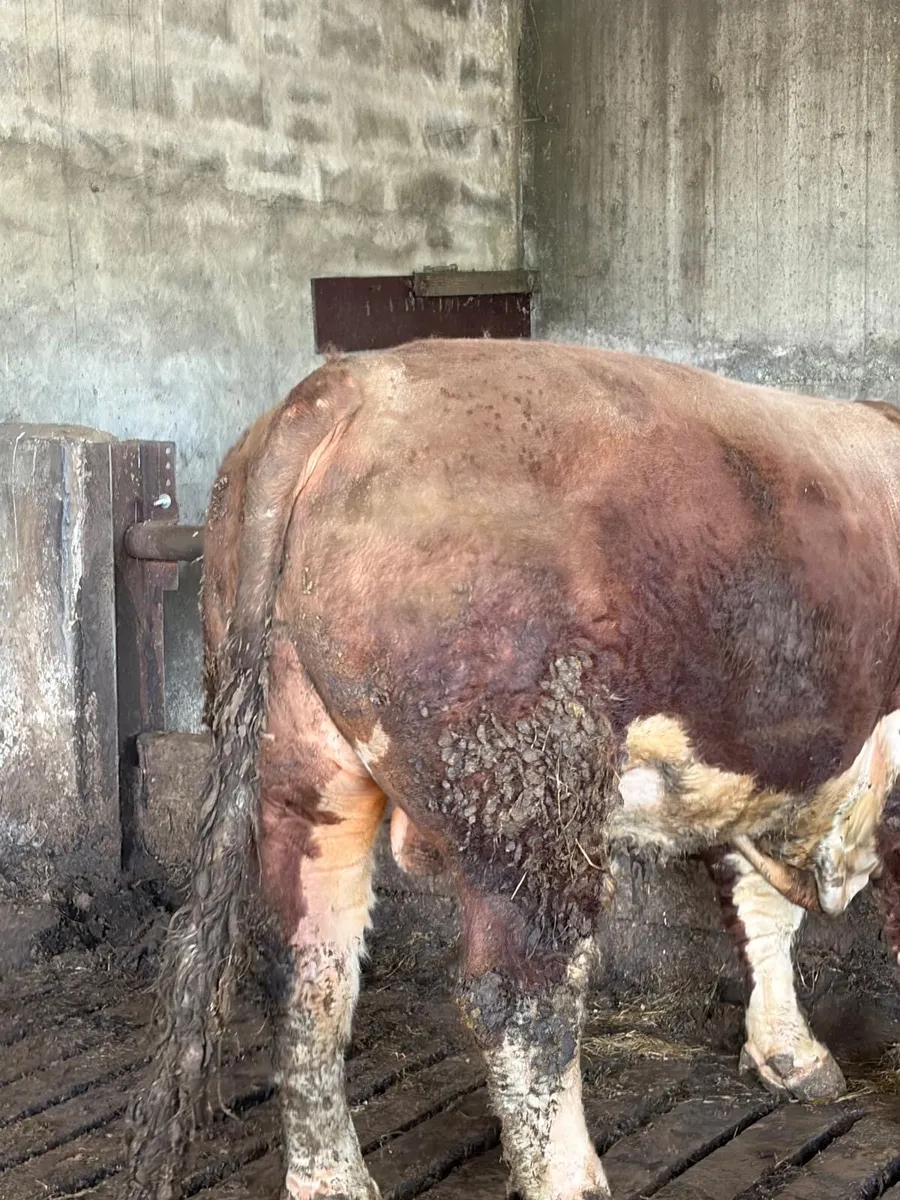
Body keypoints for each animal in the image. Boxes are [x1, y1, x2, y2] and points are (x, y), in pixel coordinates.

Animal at [127, 338, 900, 1200]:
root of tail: (348, 384)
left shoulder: (760, 771)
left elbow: (759, 912)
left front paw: (790, 1056)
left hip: (300, 765)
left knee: (308, 964)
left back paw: (334, 1178)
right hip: (528, 791)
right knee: (521, 998)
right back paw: (573, 1178)